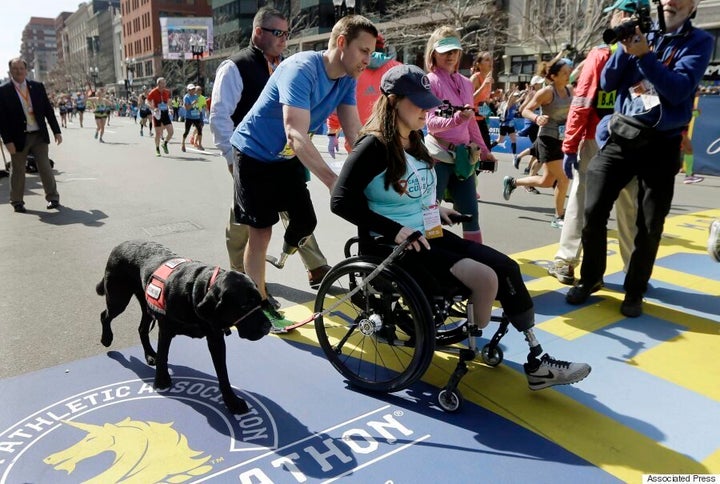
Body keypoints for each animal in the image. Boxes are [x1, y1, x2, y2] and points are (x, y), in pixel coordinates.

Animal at [96, 240, 271, 414]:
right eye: (244, 305)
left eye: (259, 301)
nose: (268, 327)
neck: (197, 290)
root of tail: (121, 243)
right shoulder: (165, 329)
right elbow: (163, 355)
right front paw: (161, 380)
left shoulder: (215, 338)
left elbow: (223, 373)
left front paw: (232, 401)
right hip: (118, 298)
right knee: (105, 315)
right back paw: (107, 338)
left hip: (146, 305)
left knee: (142, 329)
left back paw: (150, 354)